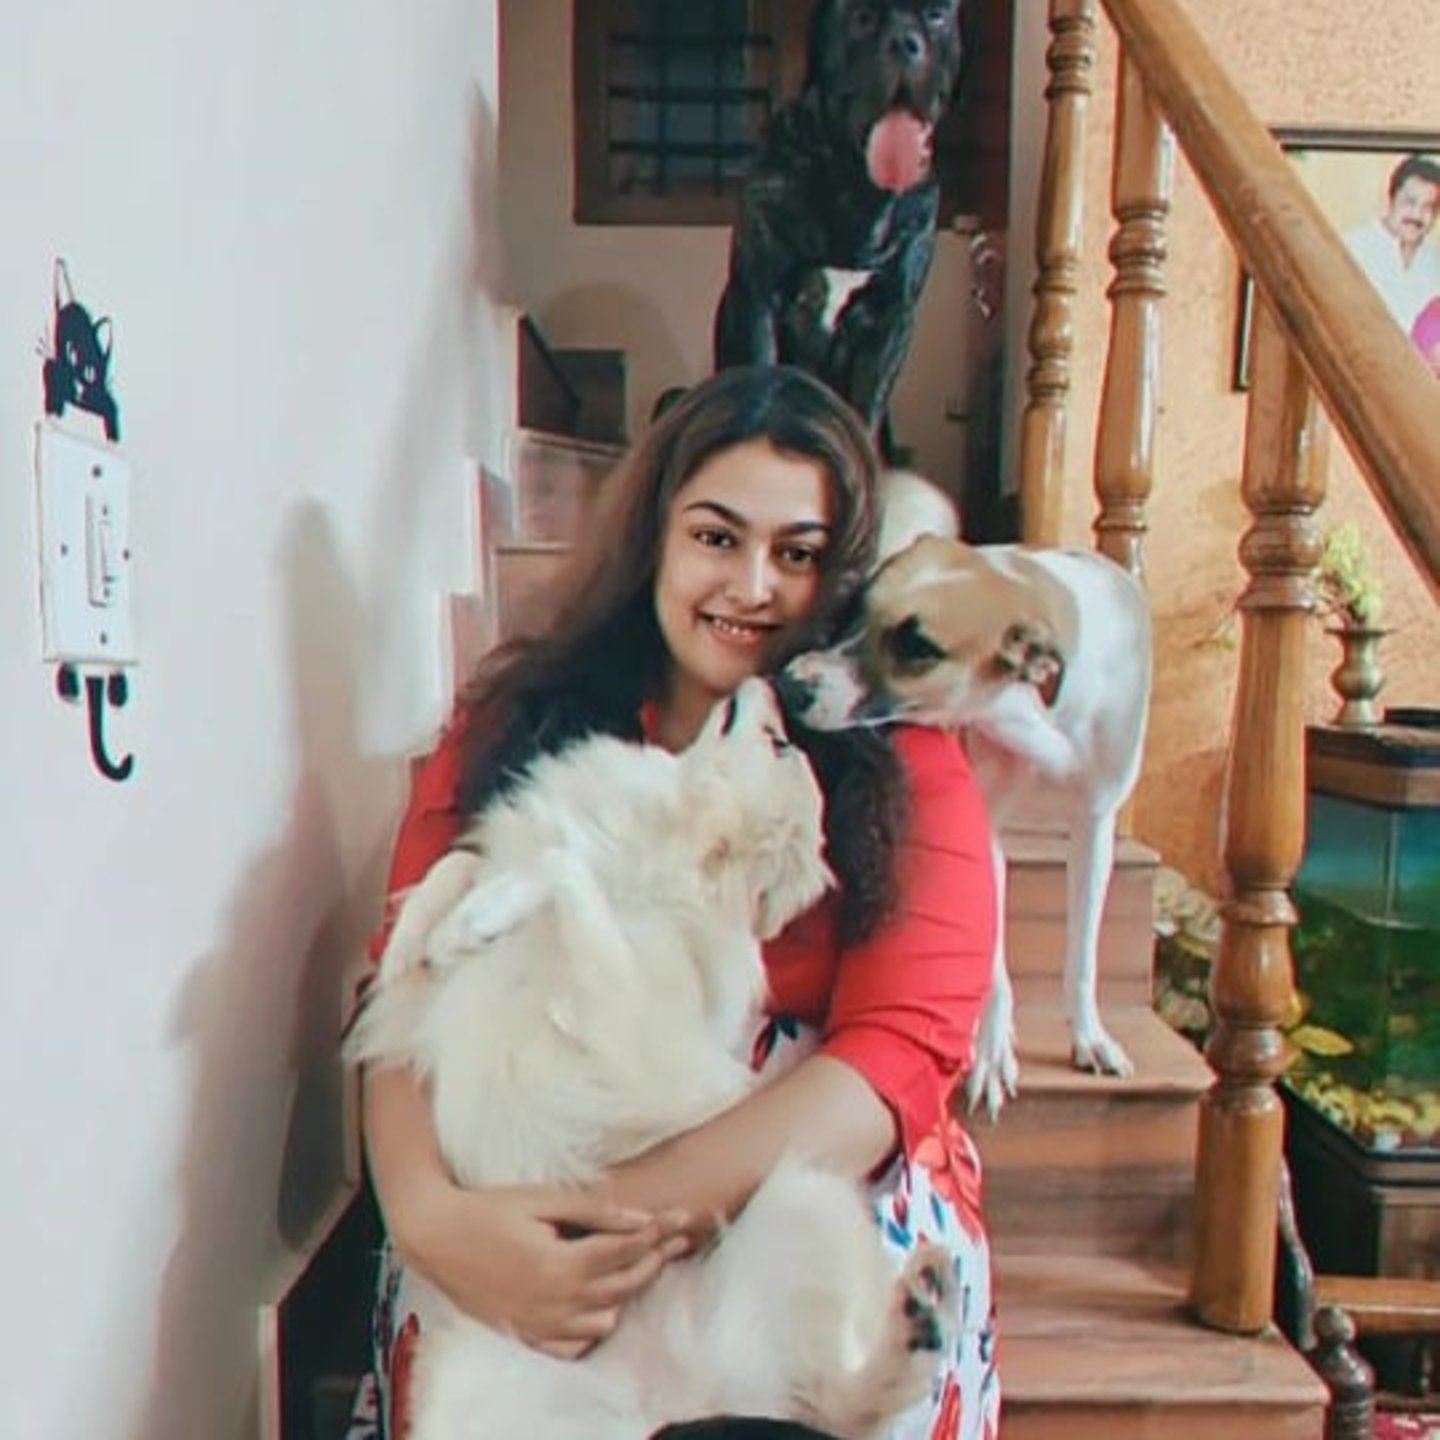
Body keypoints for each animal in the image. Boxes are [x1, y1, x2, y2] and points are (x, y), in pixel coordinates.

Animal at [713, 0, 964, 439]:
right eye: (862, 18)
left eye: (936, 15)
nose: (905, 43)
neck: (856, 180)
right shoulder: (760, 299)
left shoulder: (891, 319)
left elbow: (866, 412)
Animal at [778, 477, 1152, 1117]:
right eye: (855, 612)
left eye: (918, 647)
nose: (790, 685)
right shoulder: (986, 828)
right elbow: (994, 960)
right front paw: (991, 1050)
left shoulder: (1097, 822)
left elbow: (1082, 950)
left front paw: (1088, 1034)